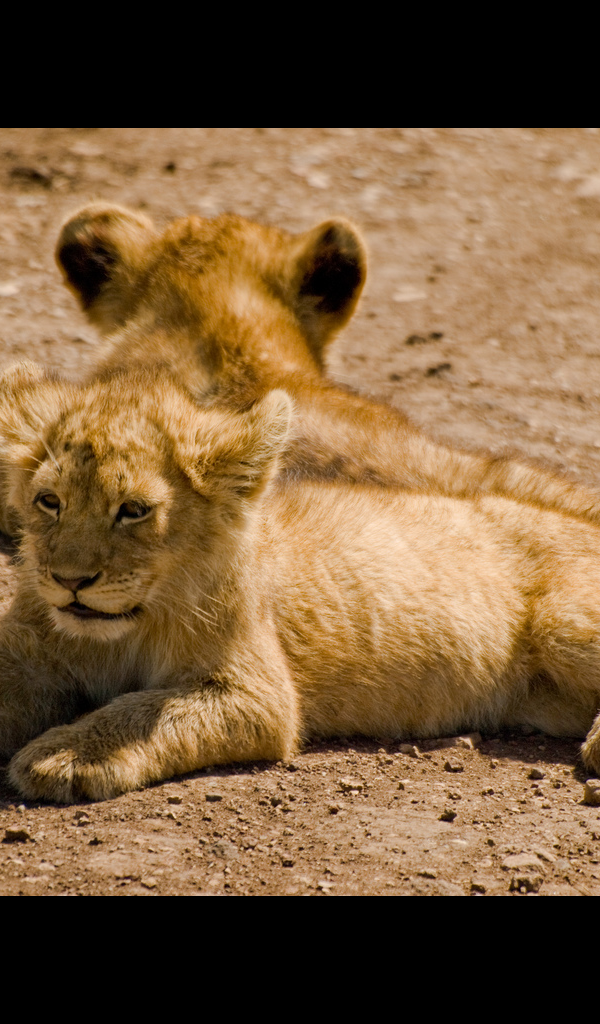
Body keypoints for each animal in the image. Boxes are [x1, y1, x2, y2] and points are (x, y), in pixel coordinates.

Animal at [1, 361, 600, 803]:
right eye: (49, 501)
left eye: (133, 510)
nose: (70, 581)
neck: (117, 635)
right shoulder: (25, 655)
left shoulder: (261, 696)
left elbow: (140, 709)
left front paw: (62, 755)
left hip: (563, 622)